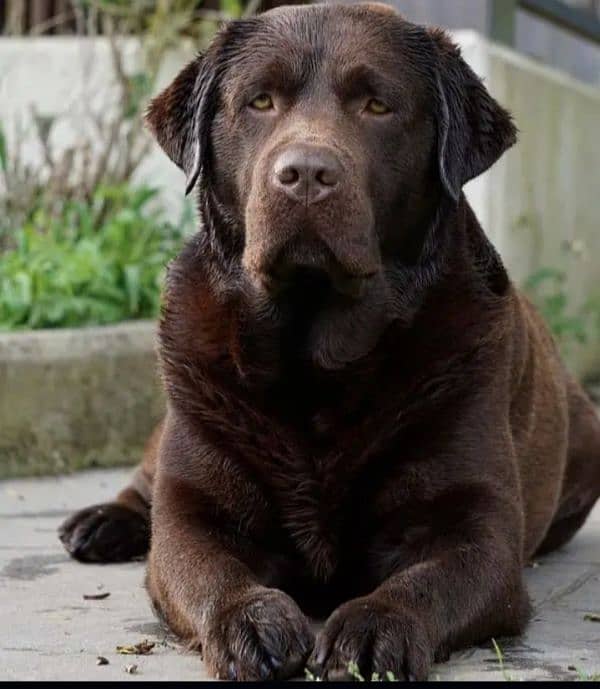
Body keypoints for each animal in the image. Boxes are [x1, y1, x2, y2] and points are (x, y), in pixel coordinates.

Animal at [59, 4, 600, 684]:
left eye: (377, 106)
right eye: (260, 101)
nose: (306, 176)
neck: (315, 356)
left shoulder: (478, 532)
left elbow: (422, 583)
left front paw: (371, 631)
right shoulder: (192, 516)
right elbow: (210, 569)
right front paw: (250, 621)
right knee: (147, 481)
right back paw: (104, 521)